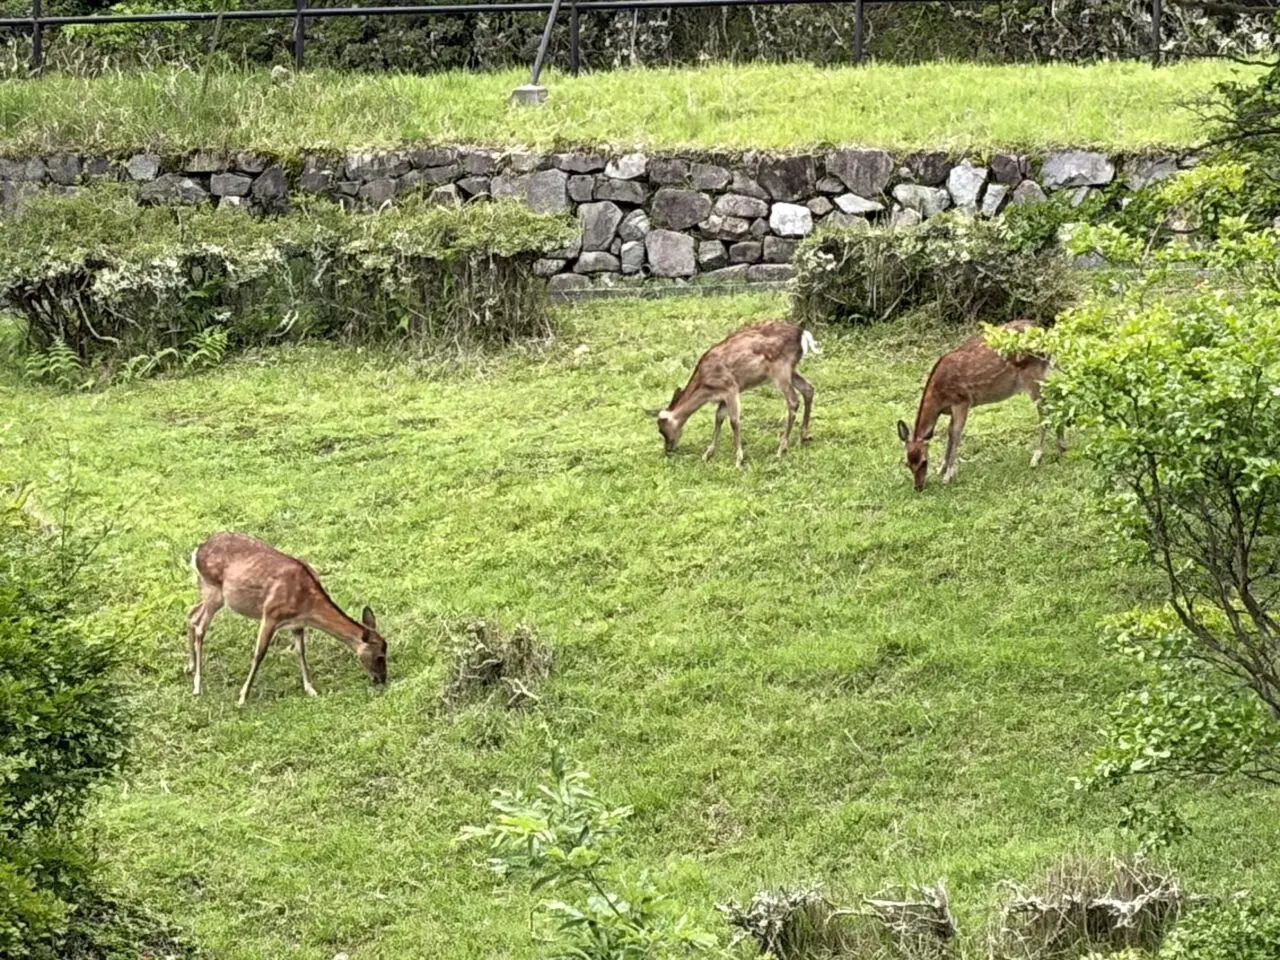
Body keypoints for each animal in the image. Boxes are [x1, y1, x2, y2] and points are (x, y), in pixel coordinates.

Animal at [185, 532, 388, 706]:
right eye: (379, 656)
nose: (382, 679)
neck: (306, 605)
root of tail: (197, 551)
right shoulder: (271, 614)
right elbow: (259, 654)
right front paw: (242, 697)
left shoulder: (297, 624)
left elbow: (300, 651)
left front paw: (311, 689)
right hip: (214, 590)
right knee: (201, 627)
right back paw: (197, 685)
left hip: (208, 591)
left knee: (191, 614)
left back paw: (190, 667)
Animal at [655, 321, 820, 468]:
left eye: (661, 429)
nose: (668, 449)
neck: (706, 388)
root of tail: (803, 334)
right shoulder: (722, 395)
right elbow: (719, 417)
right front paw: (707, 454)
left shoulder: (731, 388)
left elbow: (734, 421)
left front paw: (739, 460)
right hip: (790, 370)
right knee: (808, 389)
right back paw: (802, 438)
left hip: (781, 370)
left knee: (793, 400)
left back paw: (781, 449)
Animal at [896, 319, 1064, 491]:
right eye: (907, 463)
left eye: (924, 462)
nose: (918, 487)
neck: (938, 397)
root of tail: (1045, 332)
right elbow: (949, 433)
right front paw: (941, 469)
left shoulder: (962, 401)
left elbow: (955, 433)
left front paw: (948, 476)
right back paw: (1061, 448)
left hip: (1033, 376)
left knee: (1045, 411)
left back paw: (1037, 457)